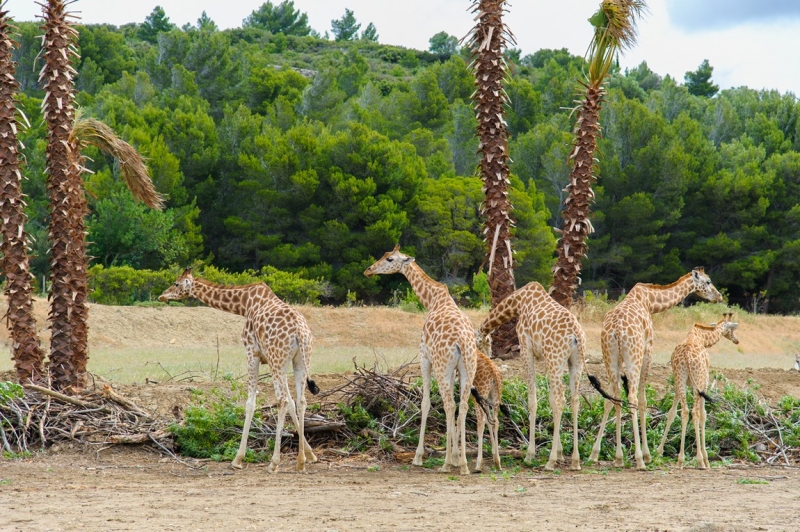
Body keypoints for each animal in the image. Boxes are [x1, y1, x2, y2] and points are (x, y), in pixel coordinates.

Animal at [159, 270, 318, 474]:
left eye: (176, 284)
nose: (162, 295)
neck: (245, 303)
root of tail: (300, 331)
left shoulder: (252, 352)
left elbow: (250, 403)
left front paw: (237, 459)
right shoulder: (277, 360)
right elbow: (292, 402)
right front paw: (310, 455)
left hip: (277, 360)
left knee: (281, 400)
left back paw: (274, 463)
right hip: (299, 360)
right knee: (301, 400)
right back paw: (300, 462)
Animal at [364, 245, 482, 474]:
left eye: (389, 259)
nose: (369, 270)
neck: (434, 300)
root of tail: (462, 341)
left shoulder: (424, 357)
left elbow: (426, 402)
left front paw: (419, 457)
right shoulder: (453, 369)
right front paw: (456, 456)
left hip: (442, 366)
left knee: (449, 405)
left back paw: (446, 464)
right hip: (467, 367)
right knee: (462, 406)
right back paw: (463, 464)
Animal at [478, 282, 616, 470]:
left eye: (484, 344)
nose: (488, 358)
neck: (517, 302)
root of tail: (576, 336)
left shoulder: (526, 348)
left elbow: (533, 401)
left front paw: (531, 455)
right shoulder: (545, 357)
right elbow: (550, 399)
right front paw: (560, 453)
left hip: (556, 358)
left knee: (560, 399)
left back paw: (550, 461)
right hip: (574, 362)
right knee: (574, 400)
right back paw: (575, 460)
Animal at [588, 266, 724, 470]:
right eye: (708, 281)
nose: (718, 296)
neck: (650, 302)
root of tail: (616, 331)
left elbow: (611, 400)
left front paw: (603, 454)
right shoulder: (648, 349)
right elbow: (643, 401)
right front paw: (647, 455)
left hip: (609, 357)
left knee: (613, 397)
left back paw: (612, 456)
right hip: (634, 357)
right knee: (632, 397)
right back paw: (639, 459)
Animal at [656, 314, 736, 468]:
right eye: (731, 329)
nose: (736, 340)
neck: (701, 337)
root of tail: (687, 355)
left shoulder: (680, 384)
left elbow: (672, 413)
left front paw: (659, 451)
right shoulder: (704, 382)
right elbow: (703, 414)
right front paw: (706, 459)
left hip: (680, 378)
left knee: (685, 411)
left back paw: (680, 460)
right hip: (697, 381)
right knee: (695, 413)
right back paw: (699, 460)